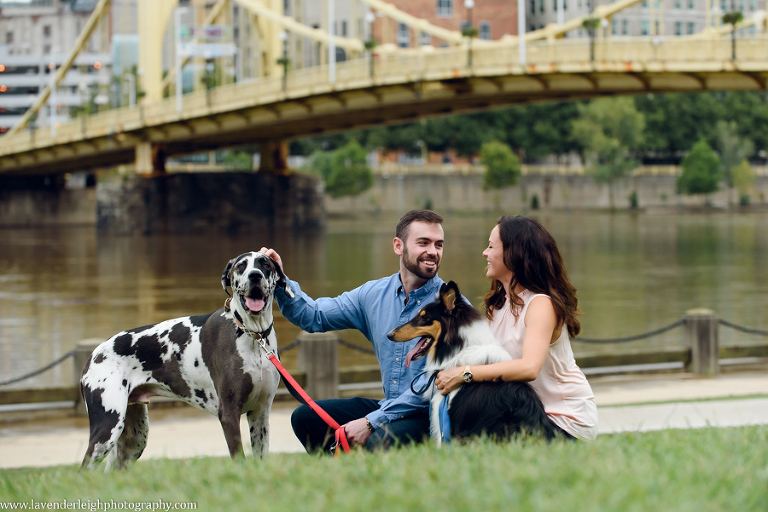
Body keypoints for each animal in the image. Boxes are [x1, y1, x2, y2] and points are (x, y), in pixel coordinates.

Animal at [79, 250, 292, 470]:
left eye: (265, 264)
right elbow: (239, 458)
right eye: (241, 266)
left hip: (134, 439)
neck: (252, 335)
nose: (255, 276)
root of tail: (95, 354)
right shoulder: (229, 415)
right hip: (108, 427)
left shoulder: (260, 414)